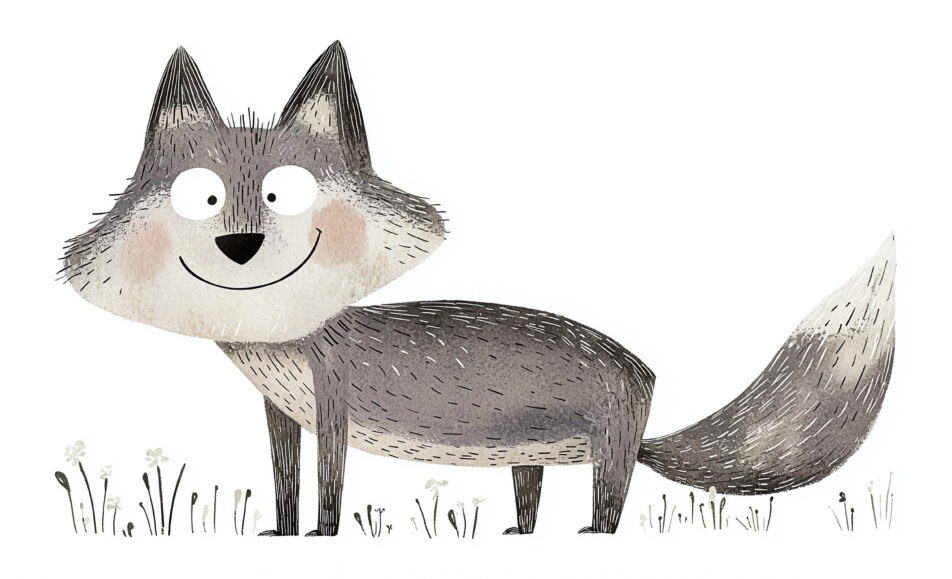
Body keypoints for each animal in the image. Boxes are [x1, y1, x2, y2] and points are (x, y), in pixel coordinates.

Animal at [62, 42, 896, 536]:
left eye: (284, 194)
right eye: (200, 197)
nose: (240, 247)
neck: (284, 345)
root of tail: (646, 373)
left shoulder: (332, 400)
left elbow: (329, 483)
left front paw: (324, 537)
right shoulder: (279, 412)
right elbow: (284, 480)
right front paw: (282, 534)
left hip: (607, 448)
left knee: (613, 499)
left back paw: (593, 538)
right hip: (531, 456)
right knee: (533, 500)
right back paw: (520, 536)